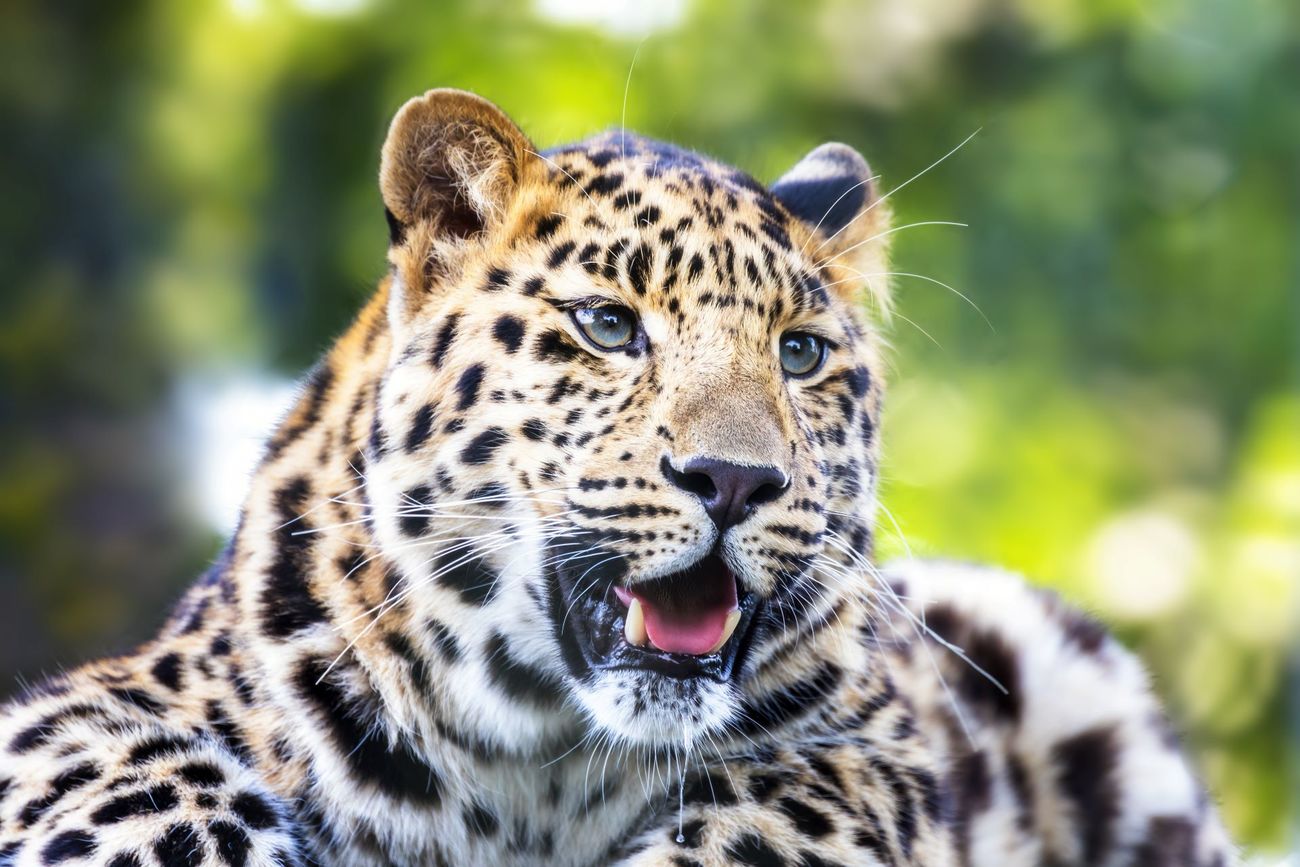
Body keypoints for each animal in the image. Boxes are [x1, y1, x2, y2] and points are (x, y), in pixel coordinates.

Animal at [0, 89, 1237, 867]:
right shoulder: (86, 712)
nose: (733, 481)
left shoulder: (872, 759)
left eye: (799, 353)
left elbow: (774, 826)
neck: (537, 766)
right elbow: (144, 768)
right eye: (607, 326)